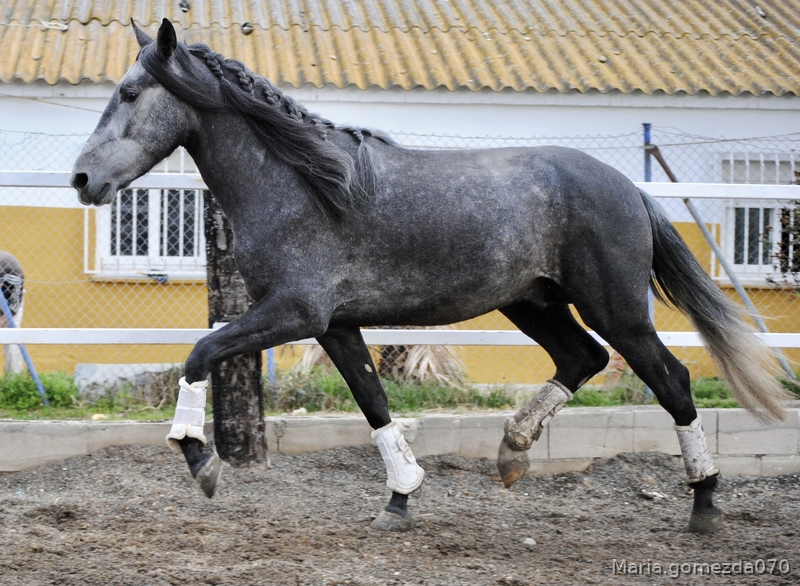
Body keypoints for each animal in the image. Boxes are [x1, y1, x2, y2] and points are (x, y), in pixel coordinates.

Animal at [71, 19, 791, 534]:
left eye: (129, 93)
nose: (81, 179)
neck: (303, 184)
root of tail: (627, 187)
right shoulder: (334, 324)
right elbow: (373, 401)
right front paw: (399, 500)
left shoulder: (293, 312)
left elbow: (201, 351)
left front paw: (201, 461)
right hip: (533, 303)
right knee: (581, 358)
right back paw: (512, 452)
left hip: (616, 309)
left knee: (671, 378)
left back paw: (704, 502)